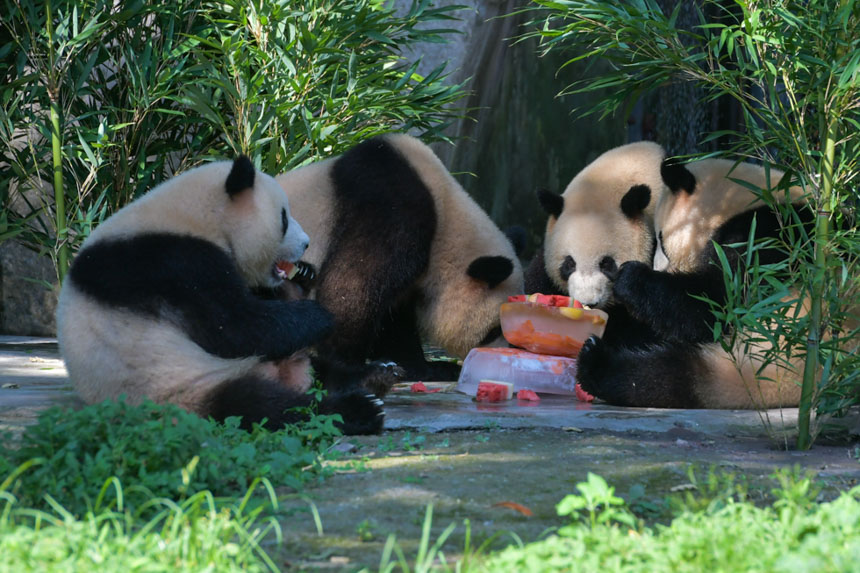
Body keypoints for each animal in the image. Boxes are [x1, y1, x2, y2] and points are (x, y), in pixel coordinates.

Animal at [276, 134, 524, 380]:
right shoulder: (392, 211)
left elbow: (393, 321)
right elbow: (352, 285)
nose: (505, 355)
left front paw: (428, 367)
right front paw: (353, 367)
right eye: (494, 330)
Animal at [576, 156, 812, 406]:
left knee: (663, 375)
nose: (658, 268)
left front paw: (630, 278)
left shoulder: (768, 239)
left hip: (763, 362)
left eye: (661, 239)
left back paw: (595, 362)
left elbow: (717, 303)